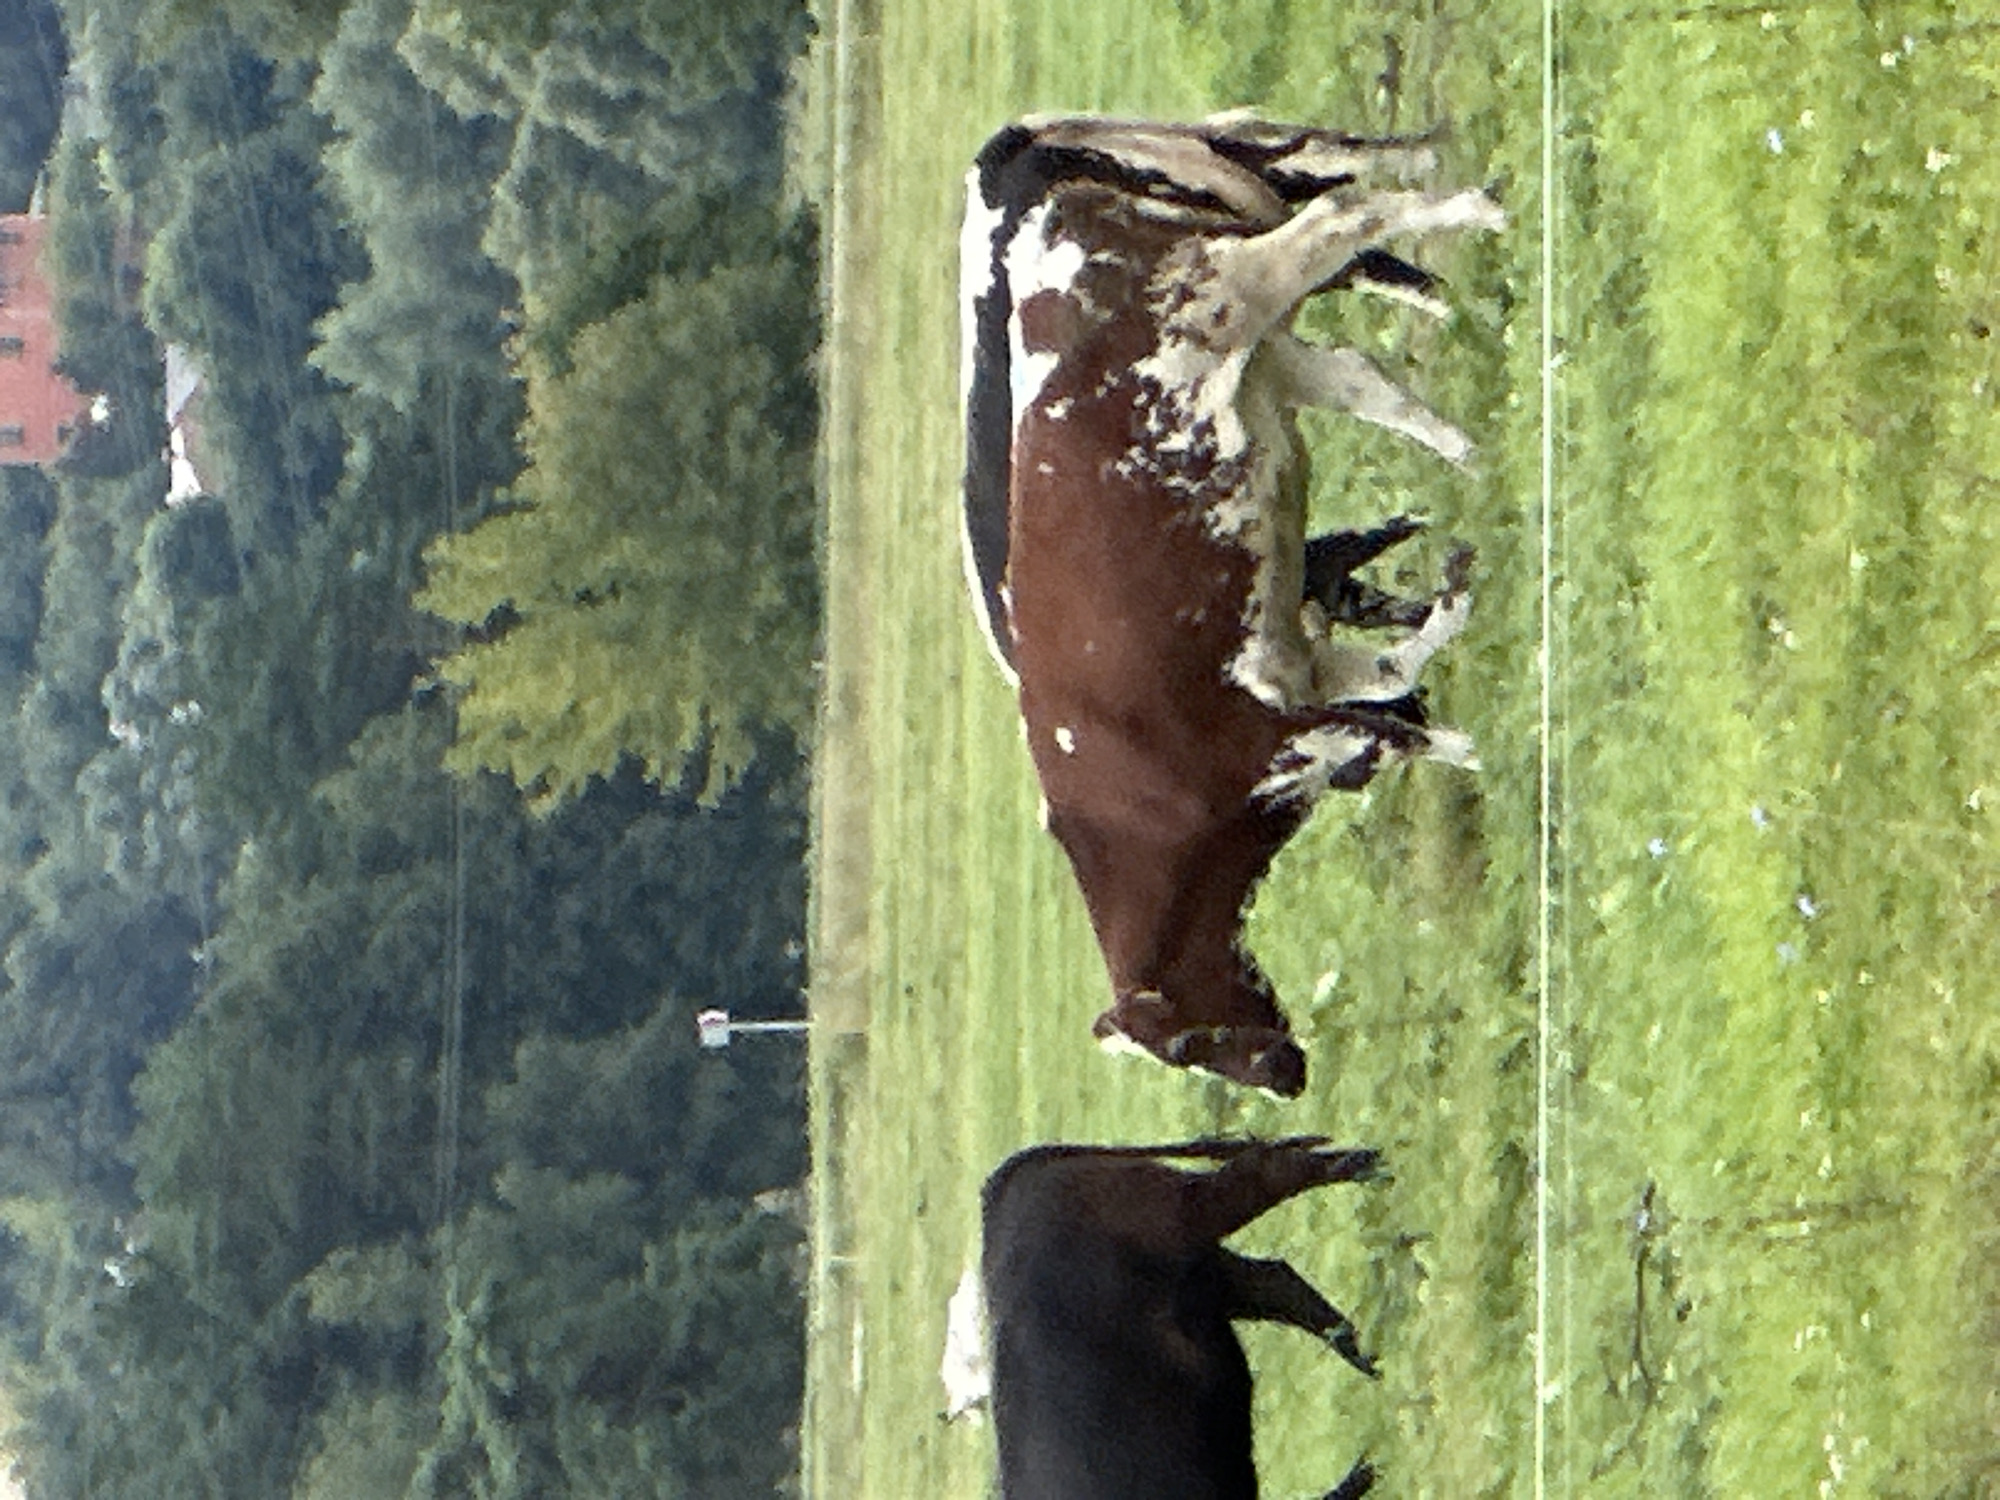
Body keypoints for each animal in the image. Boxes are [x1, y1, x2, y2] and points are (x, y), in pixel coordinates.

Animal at [960, 116, 1503, 1096]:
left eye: (1185, 1045)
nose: (1286, 1078)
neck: (1138, 804)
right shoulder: (1300, 669)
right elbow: (1391, 685)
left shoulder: (1282, 733)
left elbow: (1401, 721)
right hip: (1260, 329)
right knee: (1363, 358)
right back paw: (1472, 447)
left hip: (1231, 290)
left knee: (1345, 213)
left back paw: (1480, 213)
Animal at [981, 1136, 1382, 1499]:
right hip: (1209, 1277)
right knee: (1279, 1278)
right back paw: (1359, 1355)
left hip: (1180, 1215)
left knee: (1257, 1174)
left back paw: (1358, 1166)